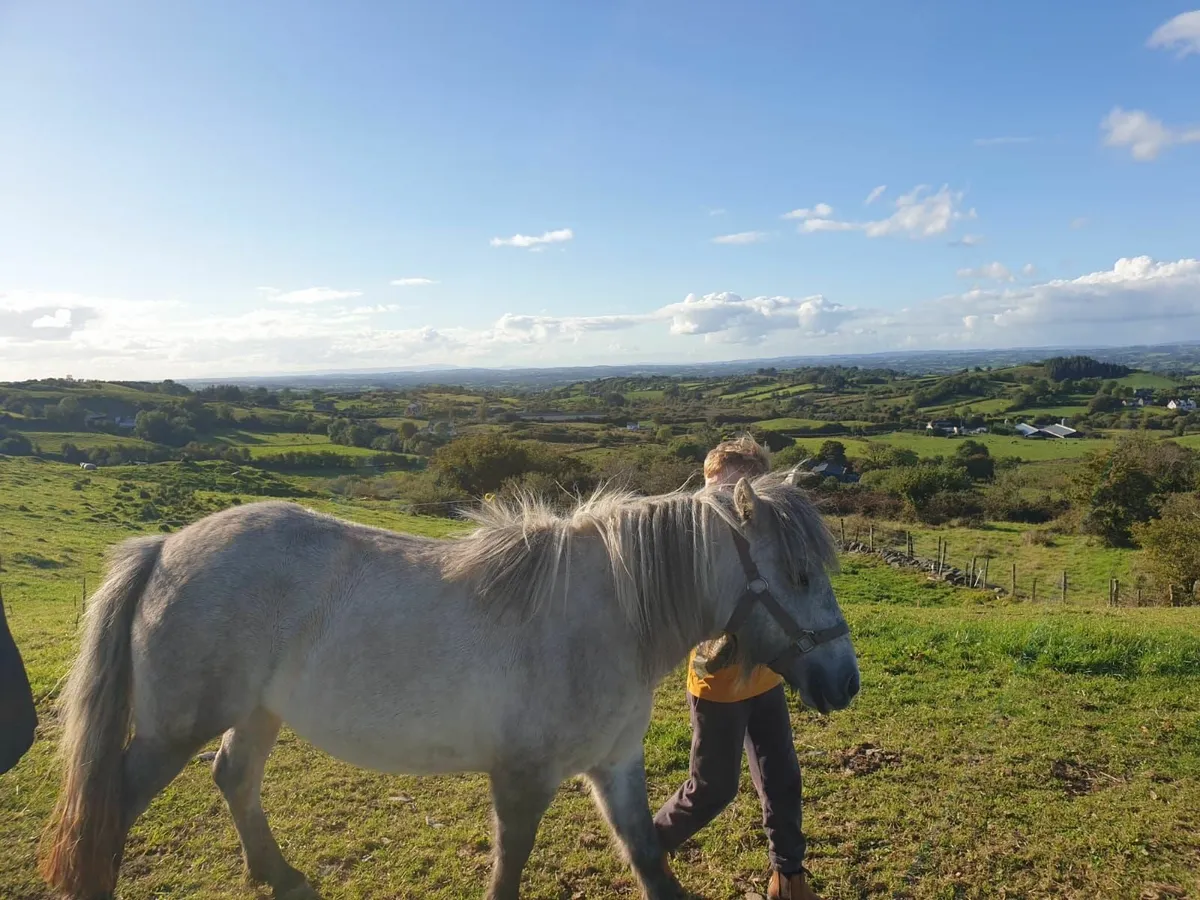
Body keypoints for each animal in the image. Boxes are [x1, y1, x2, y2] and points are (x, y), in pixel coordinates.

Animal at [40, 474, 858, 900]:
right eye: (798, 574)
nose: (844, 682)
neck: (604, 615)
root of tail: (164, 548)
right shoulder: (523, 776)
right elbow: (510, 864)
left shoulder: (615, 766)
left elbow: (649, 858)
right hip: (170, 732)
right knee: (111, 807)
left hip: (259, 712)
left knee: (233, 778)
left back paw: (278, 874)